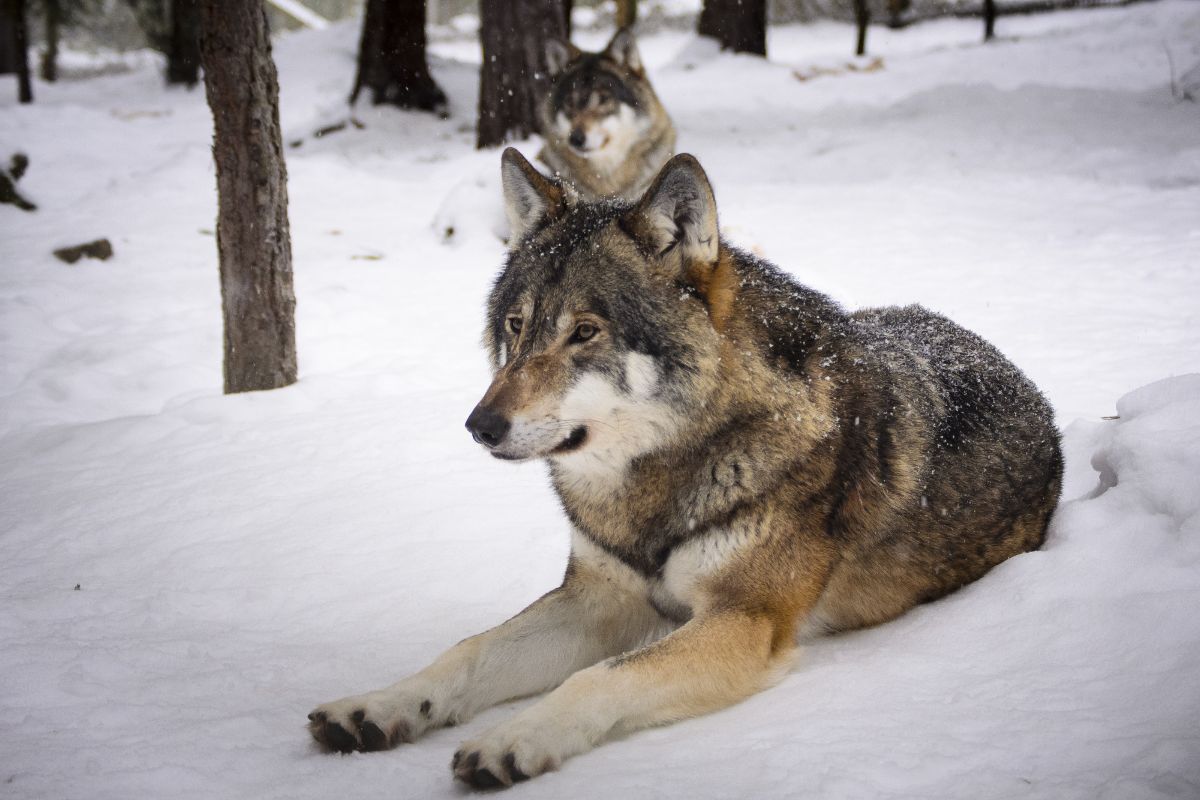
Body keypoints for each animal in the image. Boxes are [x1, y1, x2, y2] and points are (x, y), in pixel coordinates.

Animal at [307, 149, 1060, 786]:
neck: (659, 475)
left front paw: (512, 739)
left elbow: (598, 678)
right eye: (517, 326)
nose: (479, 426)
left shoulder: (743, 621)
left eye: (585, 331)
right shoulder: (598, 598)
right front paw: (379, 706)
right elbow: (470, 649)